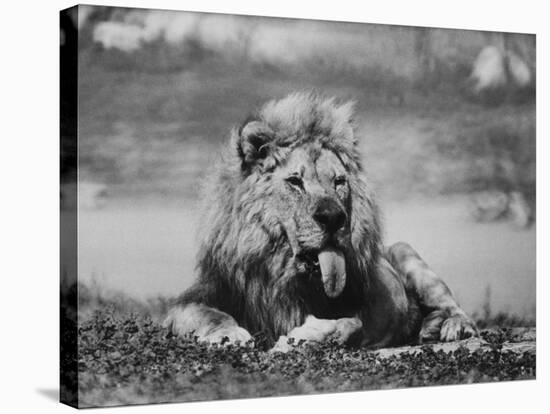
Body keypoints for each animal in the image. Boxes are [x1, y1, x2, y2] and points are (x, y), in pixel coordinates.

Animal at [164, 91, 478, 350]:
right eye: (295, 181)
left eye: (339, 182)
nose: (333, 217)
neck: (282, 274)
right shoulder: (195, 299)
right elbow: (207, 314)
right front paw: (230, 334)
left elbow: (352, 323)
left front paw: (305, 335)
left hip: (405, 252)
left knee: (454, 306)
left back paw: (449, 326)